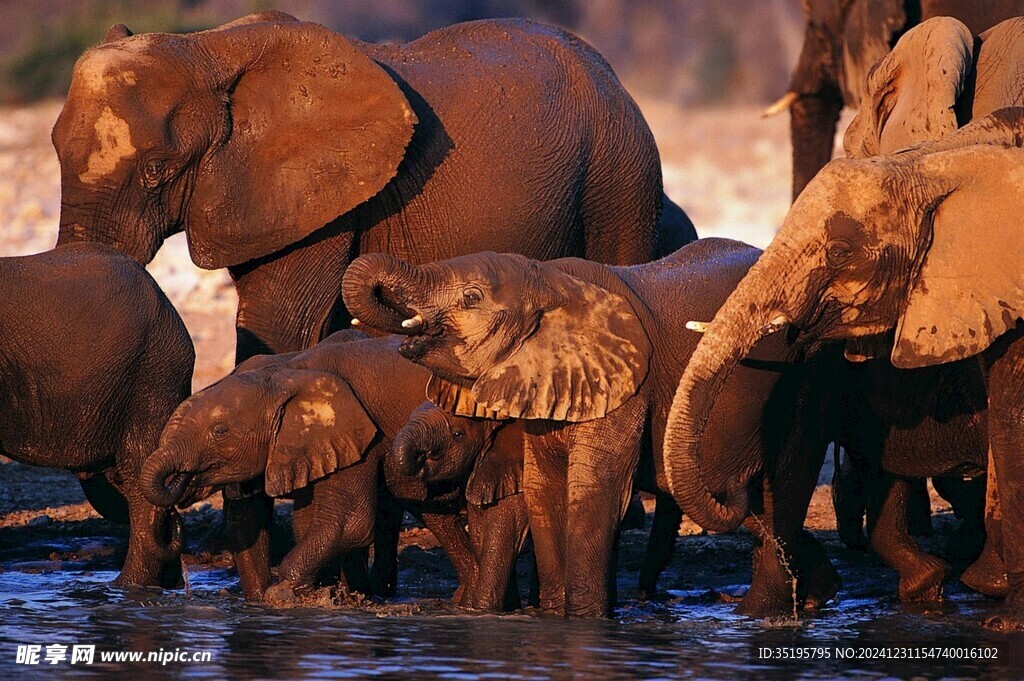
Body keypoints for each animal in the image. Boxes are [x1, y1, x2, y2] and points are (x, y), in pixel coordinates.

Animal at [140, 331, 529, 605]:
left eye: (220, 431)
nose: (179, 486)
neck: (282, 373)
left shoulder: (357, 435)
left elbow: (348, 523)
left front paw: (288, 594)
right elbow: (250, 521)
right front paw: (265, 600)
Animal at [340, 239, 841, 618]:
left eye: (471, 298)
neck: (549, 281)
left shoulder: (627, 385)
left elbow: (592, 489)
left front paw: (584, 622)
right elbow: (543, 490)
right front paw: (552, 617)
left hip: (806, 375)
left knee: (785, 484)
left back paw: (761, 614)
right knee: (756, 506)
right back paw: (818, 596)